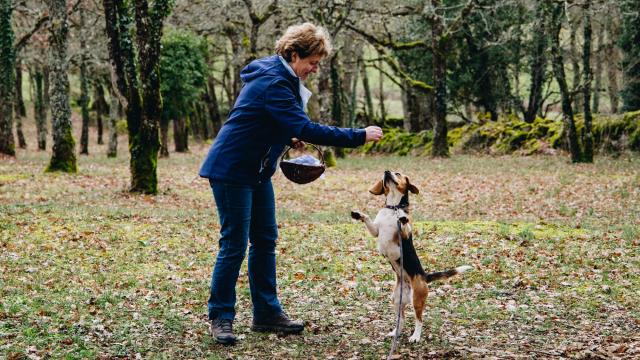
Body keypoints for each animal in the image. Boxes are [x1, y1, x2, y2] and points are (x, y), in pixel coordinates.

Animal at [350, 170, 470, 342]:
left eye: (398, 173)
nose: (387, 171)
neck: (393, 208)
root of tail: (424, 276)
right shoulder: (375, 230)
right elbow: (368, 220)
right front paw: (358, 214)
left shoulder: (405, 234)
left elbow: (405, 224)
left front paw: (403, 219)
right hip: (396, 299)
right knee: (402, 319)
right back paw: (395, 332)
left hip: (417, 299)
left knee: (419, 320)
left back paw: (415, 336)